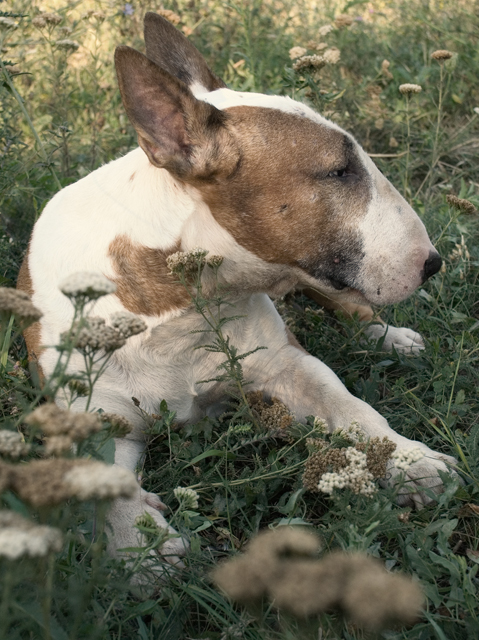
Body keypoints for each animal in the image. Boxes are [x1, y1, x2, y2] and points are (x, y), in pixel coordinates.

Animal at [17, 13, 454, 564]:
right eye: (338, 171)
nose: (433, 263)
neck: (182, 307)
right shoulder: (92, 418)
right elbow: (101, 482)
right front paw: (144, 551)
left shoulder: (288, 363)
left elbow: (350, 404)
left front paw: (412, 462)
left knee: (346, 305)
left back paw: (390, 338)